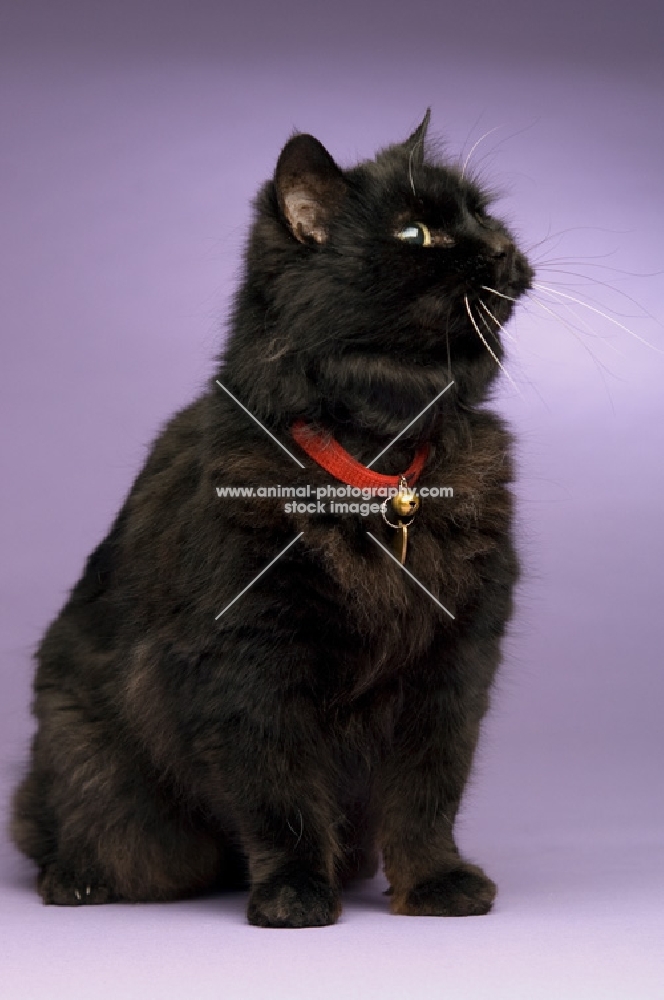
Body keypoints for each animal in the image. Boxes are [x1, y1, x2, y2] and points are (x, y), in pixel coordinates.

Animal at [11, 113, 536, 924]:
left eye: (482, 215)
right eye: (414, 233)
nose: (504, 249)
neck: (378, 464)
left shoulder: (455, 664)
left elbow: (427, 795)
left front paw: (435, 884)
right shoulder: (249, 661)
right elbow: (279, 795)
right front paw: (294, 894)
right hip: (107, 789)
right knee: (66, 832)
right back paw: (77, 878)